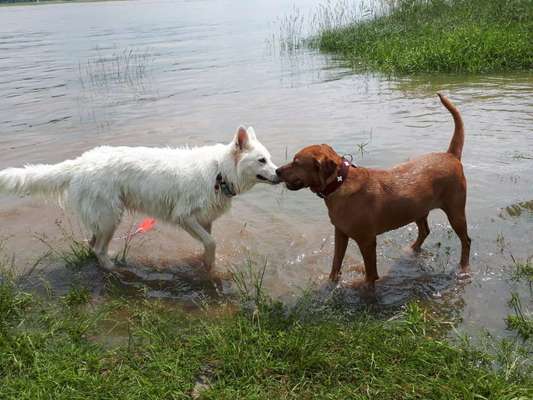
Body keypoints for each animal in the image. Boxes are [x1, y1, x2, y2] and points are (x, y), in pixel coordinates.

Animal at [0, 126, 278, 274]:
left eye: (270, 159)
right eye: (262, 160)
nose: (279, 173)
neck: (220, 172)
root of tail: (80, 163)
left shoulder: (204, 220)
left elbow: (208, 243)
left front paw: (206, 267)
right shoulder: (184, 216)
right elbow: (211, 242)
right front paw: (208, 264)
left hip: (104, 219)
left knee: (91, 244)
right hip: (110, 217)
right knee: (98, 248)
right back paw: (114, 269)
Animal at [276, 94, 468, 288]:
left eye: (296, 163)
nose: (277, 170)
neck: (339, 183)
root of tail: (451, 155)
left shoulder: (367, 241)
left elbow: (370, 276)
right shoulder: (340, 233)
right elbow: (336, 263)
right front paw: (331, 283)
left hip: (456, 212)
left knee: (466, 241)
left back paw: (464, 268)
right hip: (418, 209)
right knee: (425, 231)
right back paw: (411, 249)